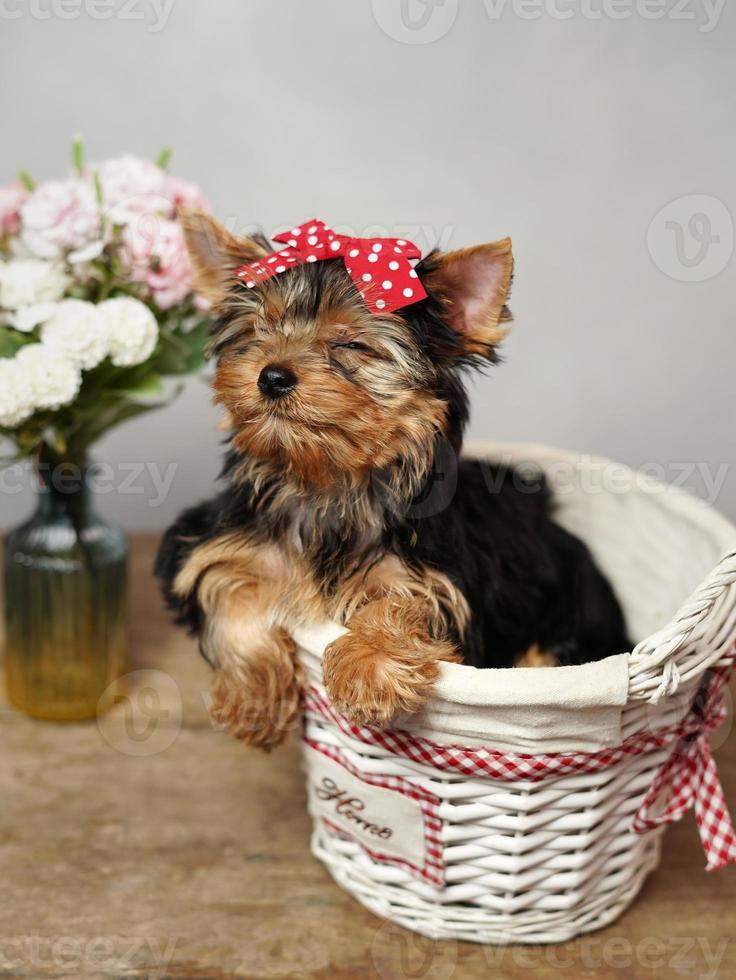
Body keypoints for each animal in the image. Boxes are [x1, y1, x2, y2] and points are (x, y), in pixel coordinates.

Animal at [155, 216, 628, 752]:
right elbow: (227, 588)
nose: (272, 376)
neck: (328, 485)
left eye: (351, 345)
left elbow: (403, 599)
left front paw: (369, 668)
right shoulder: (216, 541)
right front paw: (255, 699)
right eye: (259, 330)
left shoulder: (440, 582)